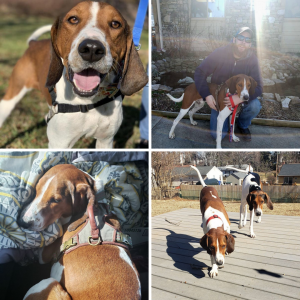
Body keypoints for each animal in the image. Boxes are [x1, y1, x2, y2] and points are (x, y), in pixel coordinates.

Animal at [0, 0, 148, 149]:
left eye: (115, 24)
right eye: (73, 19)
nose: (92, 48)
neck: (88, 103)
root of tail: (33, 44)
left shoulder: (105, 140)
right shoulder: (60, 143)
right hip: (11, 97)